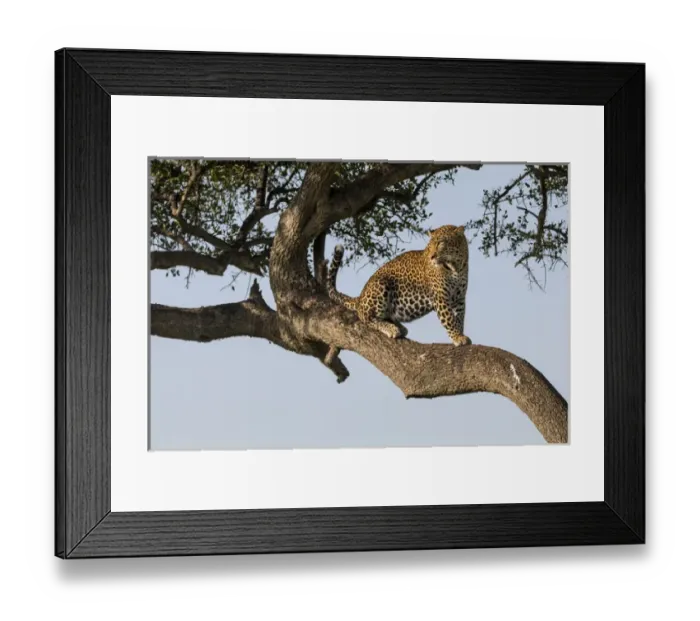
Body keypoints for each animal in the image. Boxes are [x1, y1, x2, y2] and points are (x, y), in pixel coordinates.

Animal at [326, 224, 472, 346]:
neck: (455, 267)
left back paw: (400, 327)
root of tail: (360, 297)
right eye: (429, 246)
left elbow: (460, 318)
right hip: (381, 285)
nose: (431, 257)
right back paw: (392, 328)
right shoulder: (441, 297)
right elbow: (449, 319)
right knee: (366, 318)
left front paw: (460, 334)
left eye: (441, 243)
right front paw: (458, 337)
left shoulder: (460, 298)